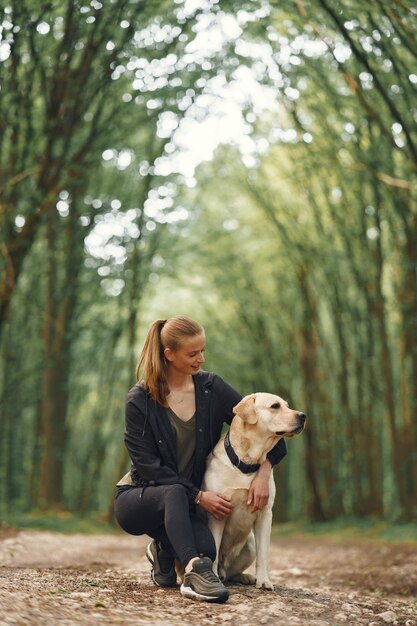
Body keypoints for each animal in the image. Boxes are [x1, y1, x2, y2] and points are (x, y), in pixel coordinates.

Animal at [202, 392, 306, 588]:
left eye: (287, 405)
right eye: (275, 406)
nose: (303, 416)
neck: (246, 463)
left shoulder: (265, 513)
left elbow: (264, 553)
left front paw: (264, 580)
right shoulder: (217, 512)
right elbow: (214, 551)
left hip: (249, 546)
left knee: (230, 571)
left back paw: (245, 577)